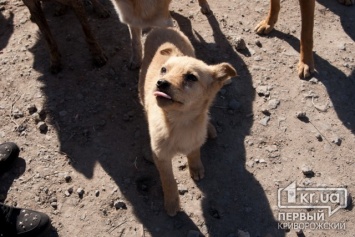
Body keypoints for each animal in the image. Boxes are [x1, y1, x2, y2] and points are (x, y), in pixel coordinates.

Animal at [139, 26, 236, 216]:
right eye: (164, 70)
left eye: (191, 77)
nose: (160, 83)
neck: (179, 122)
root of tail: (161, 26)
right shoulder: (161, 156)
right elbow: (168, 180)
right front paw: (172, 203)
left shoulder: (195, 139)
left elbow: (194, 152)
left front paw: (196, 167)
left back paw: (210, 127)